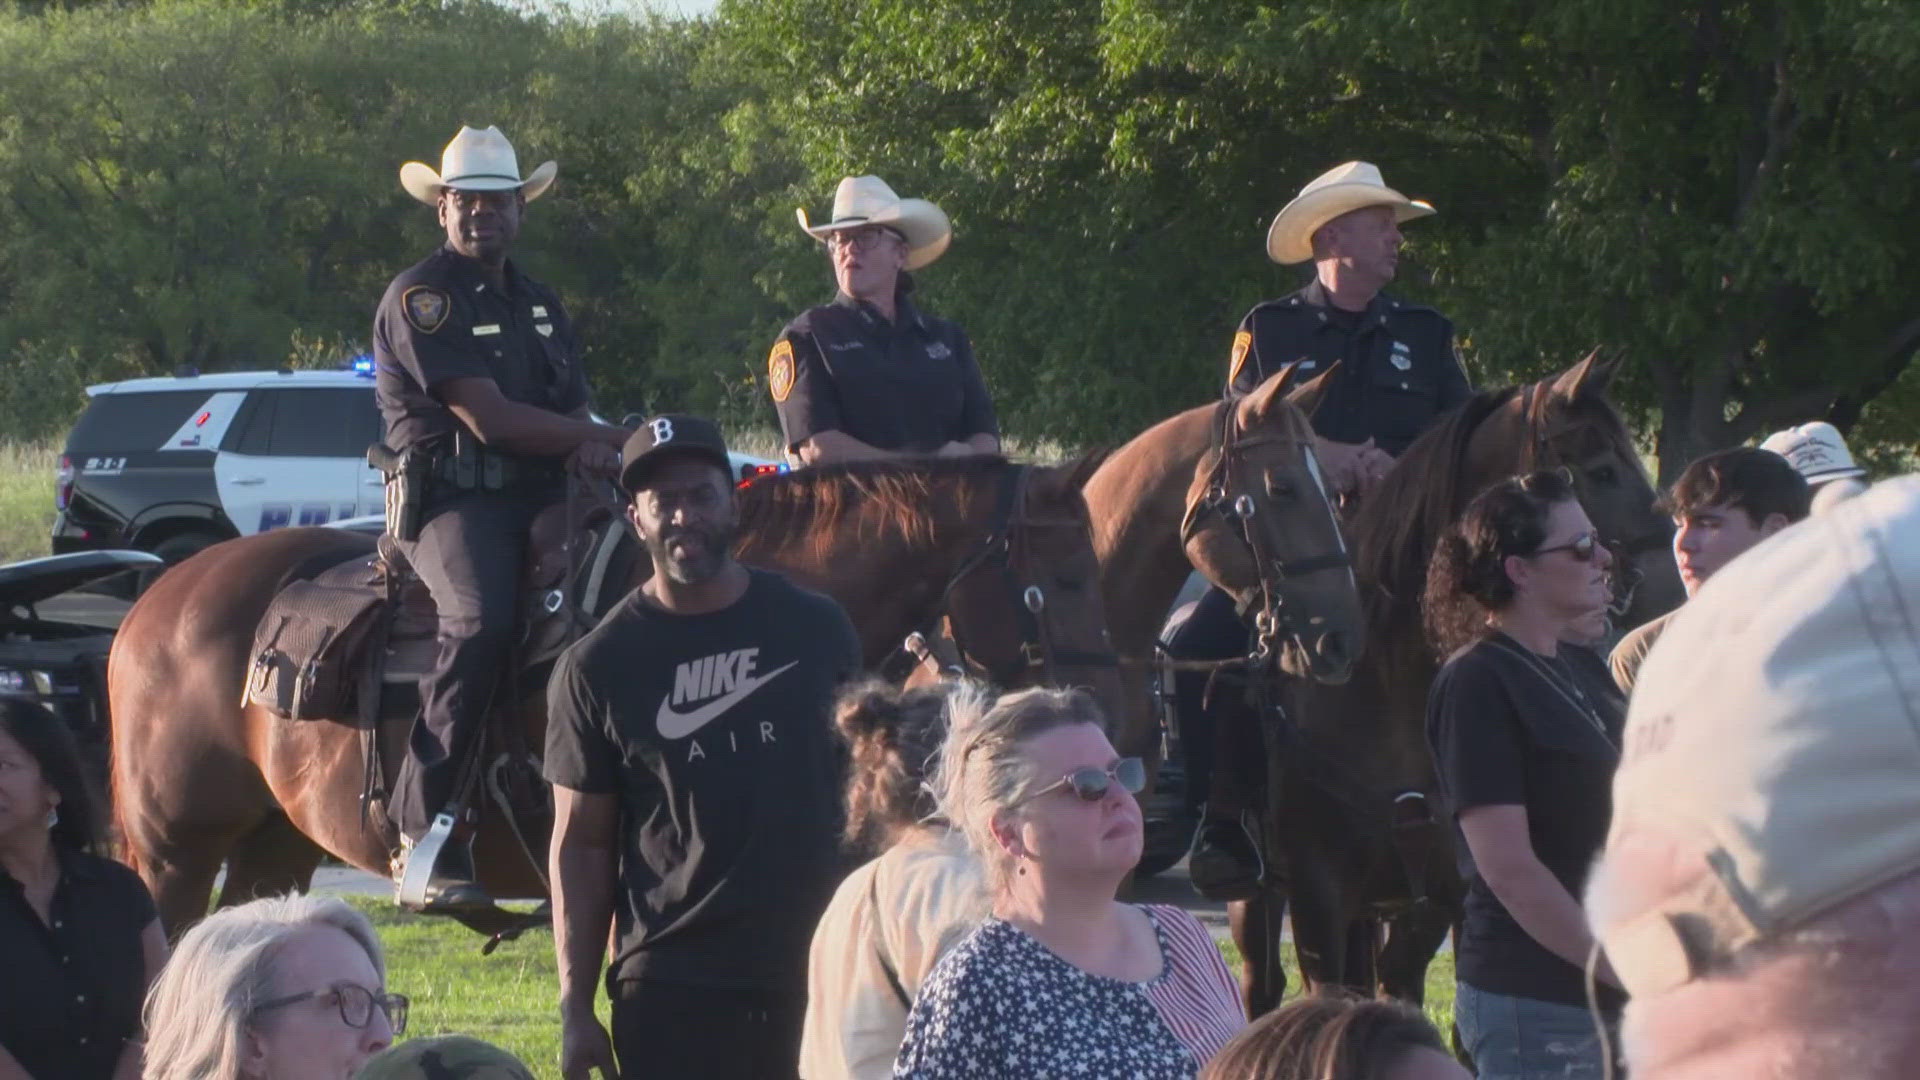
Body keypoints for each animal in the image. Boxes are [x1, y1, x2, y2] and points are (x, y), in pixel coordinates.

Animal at [1228, 351, 1681, 1006]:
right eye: (1601, 470)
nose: (1672, 587)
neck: (1384, 688)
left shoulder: (1440, 896)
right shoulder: (1318, 898)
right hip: (1261, 904)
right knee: (1262, 985)